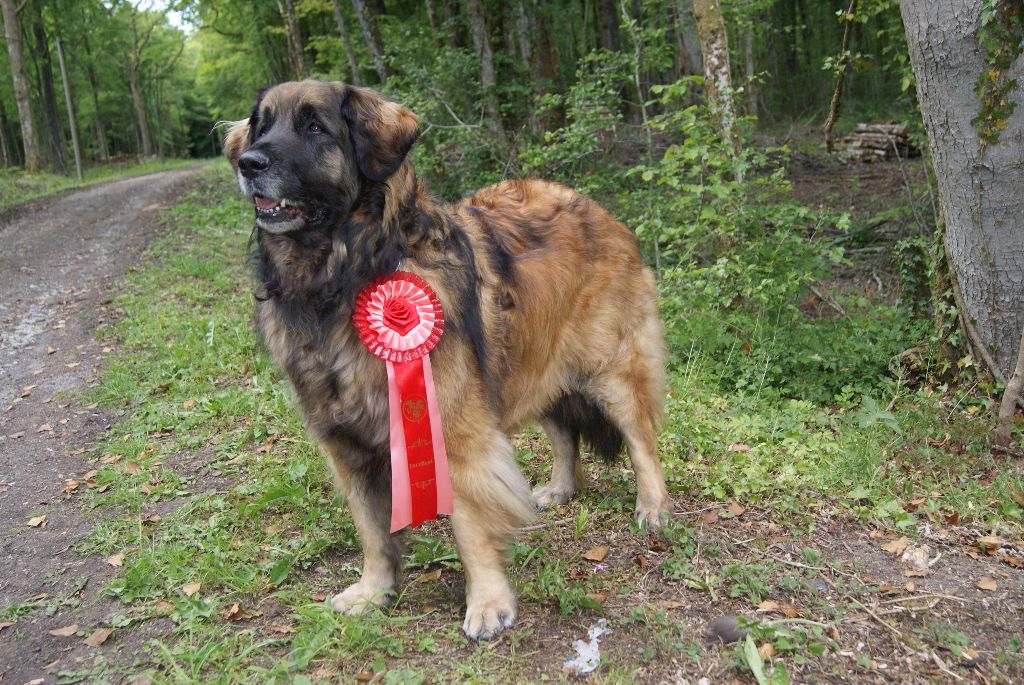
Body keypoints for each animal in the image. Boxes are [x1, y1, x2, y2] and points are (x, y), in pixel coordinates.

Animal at [223, 80, 667, 643]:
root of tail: (599, 209)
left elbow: (469, 523)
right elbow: (371, 528)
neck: (344, 278)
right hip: (529, 361)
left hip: (607, 366)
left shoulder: (452, 429)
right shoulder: (344, 442)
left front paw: (488, 603)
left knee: (640, 438)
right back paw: (560, 489)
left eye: (314, 127)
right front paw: (373, 591)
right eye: (261, 126)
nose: (249, 163)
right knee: (565, 431)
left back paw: (652, 507)